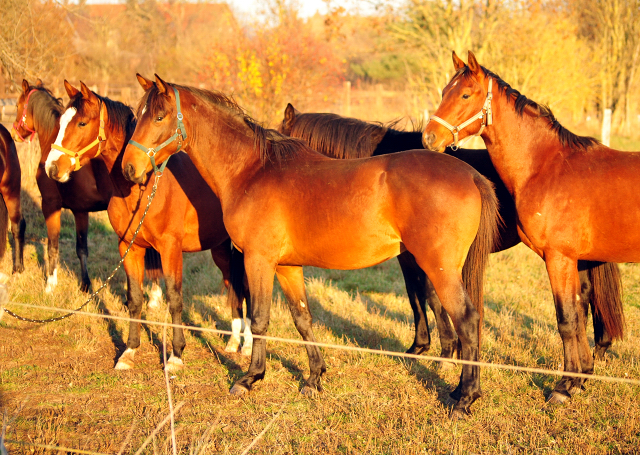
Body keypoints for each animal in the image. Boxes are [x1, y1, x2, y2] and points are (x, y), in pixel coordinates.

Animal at [10, 79, 164, 300]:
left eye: (17, 105)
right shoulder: (80, 211)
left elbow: (52, 246)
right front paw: (85, 285)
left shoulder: (50, 205)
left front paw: (50, 285)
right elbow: (81, 249)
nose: (14, 133)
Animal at [42, 80, 251, 368]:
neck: (143, 188)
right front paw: (129, 351)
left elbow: (174, 299)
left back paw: (248, 346)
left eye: (82, 123)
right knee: (233, 284)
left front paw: (175, 355)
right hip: (219, 247)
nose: (52, 168)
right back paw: (233, 342)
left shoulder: (170, 250)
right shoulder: (129, 248)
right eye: (61, 121)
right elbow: (134, 298)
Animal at [120, 75, 500, 420]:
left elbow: (259, 319)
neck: (251, 171)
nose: (129, 168)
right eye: (139, 115)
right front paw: (314, 378)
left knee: (467, 321)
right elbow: (302, 319)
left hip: (439, 268)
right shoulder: (288, 267)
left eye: (159, 116)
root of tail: (470, 175)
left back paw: (465, 398)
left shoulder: (258, 260)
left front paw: (250, 378)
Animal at [422, 50, 628, 406]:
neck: (548, 167)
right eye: (445, 92)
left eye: (465, 95)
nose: (429, 137)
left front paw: (563, 388)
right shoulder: (573, 260)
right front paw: (579, 379)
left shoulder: (559, 258)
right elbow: (578, 314)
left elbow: (566, 319)